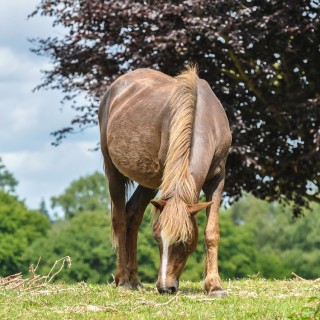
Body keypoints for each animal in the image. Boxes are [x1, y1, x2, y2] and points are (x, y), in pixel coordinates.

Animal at [99, 67, 231, 296]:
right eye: (157, 239)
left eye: (183, 241)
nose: (164, 287)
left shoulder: (217, 179)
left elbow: (211, 231)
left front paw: (214, 285)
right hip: (114, 172)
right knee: (120, 220)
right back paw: (123, 280)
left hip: (149, 182)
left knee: (133, 215)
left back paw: (135, 280)